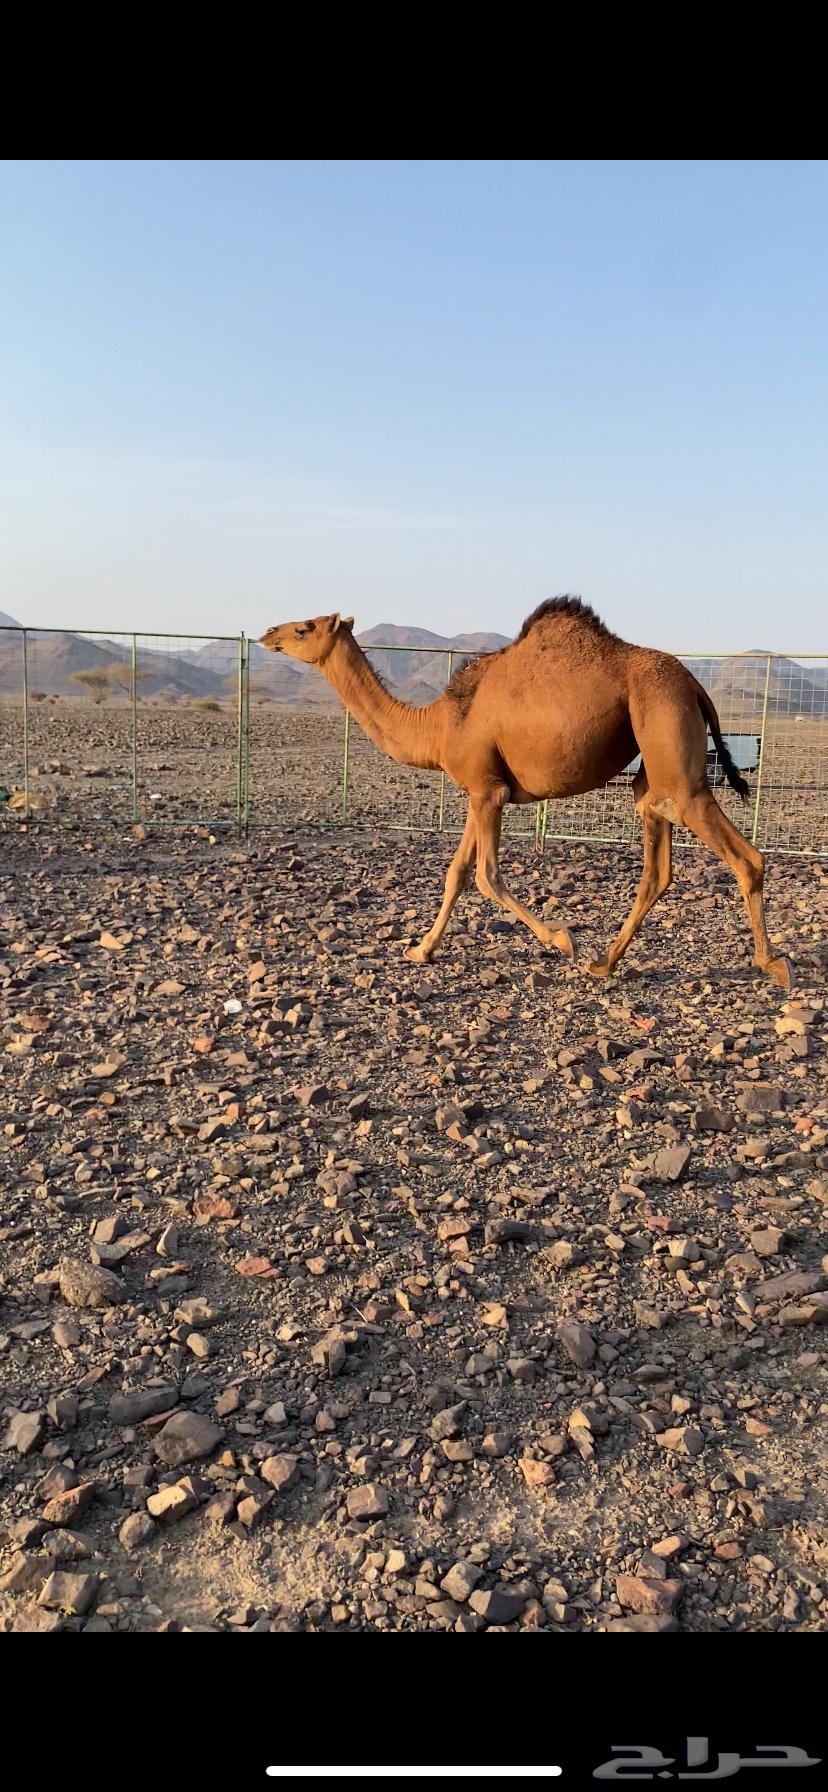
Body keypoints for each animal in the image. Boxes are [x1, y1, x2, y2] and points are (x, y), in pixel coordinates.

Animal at [259, 598, 791, 990]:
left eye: (305, 628)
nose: (268, 634)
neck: (438, 726)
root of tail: (696, 685)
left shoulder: (488, 792)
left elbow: (487, 876)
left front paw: (561, 939)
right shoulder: (479, 789)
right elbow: (456, 873)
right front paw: (421, 950)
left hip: (673, 749)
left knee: (744, 857)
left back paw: (773, 964)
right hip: (652, 767)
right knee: (657, 867)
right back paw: (606, 963)